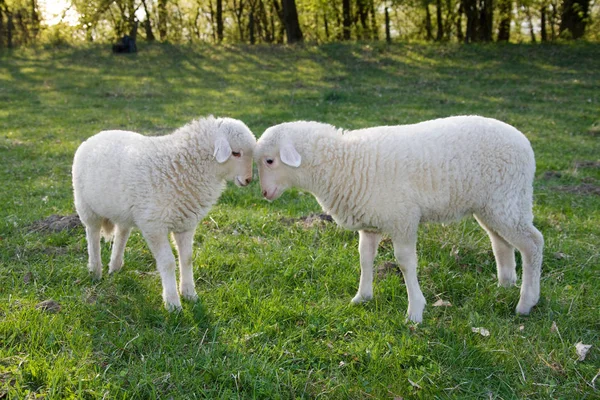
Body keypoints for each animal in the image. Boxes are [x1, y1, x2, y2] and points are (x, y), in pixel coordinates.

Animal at [72, 115, 255, 310]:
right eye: (236, 153)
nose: (248, 180)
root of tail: (97, 135)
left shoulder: (186, 224)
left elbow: (187, 258)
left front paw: (189, 293)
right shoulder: (154, 226)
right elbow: (167, 262)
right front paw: (173, 302)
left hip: (124, 210)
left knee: (122, 233)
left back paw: (114, 266)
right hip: (86, 206)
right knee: (92, 235)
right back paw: (95, 271)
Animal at [255, 115, 548, 322]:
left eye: (269, 161)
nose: (264, 193)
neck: (344, 162)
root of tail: (525, 143)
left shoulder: (403, 219)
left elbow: (406, 263)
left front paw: (415, 311)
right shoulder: (371, 223)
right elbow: (364, 258)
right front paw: (362, 297)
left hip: (508, 199)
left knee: (533, 243)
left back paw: (526, 302)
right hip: (492, 206)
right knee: (501, 243)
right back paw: (505, 285)